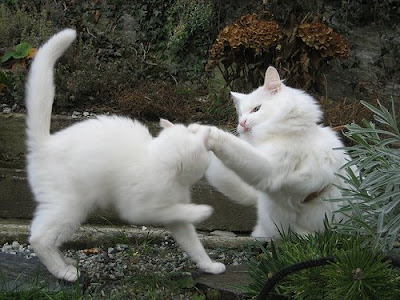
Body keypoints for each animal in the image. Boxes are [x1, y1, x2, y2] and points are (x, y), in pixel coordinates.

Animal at [25, 29, 225, 282]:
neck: (160, 162)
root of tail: (46, 143)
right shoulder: (139, 209)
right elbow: (177, 210)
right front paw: (201, 211)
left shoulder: (176, 219)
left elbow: (194, 245)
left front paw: (209, 265)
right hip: (69, 206)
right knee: (39, 238)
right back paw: (65, 272)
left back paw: (66, 261)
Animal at [191, 66, 350, 239]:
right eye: (240, 114)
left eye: (256, 109)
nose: (242, 123)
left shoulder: (270, 169)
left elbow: (232, 145)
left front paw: (201, 131)